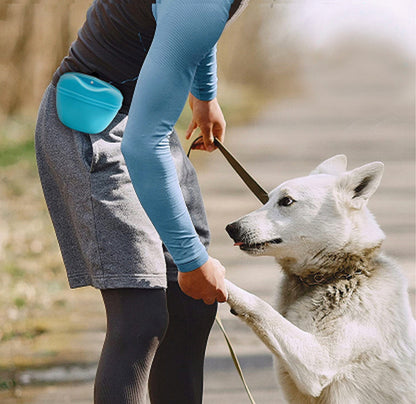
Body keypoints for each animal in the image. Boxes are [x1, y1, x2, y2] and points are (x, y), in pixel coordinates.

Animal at [226, 155, 414, 404]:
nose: (231, 228)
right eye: (267, 199)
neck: (338, 276)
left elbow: (261, 307)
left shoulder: (318, 362)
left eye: (286, 201)